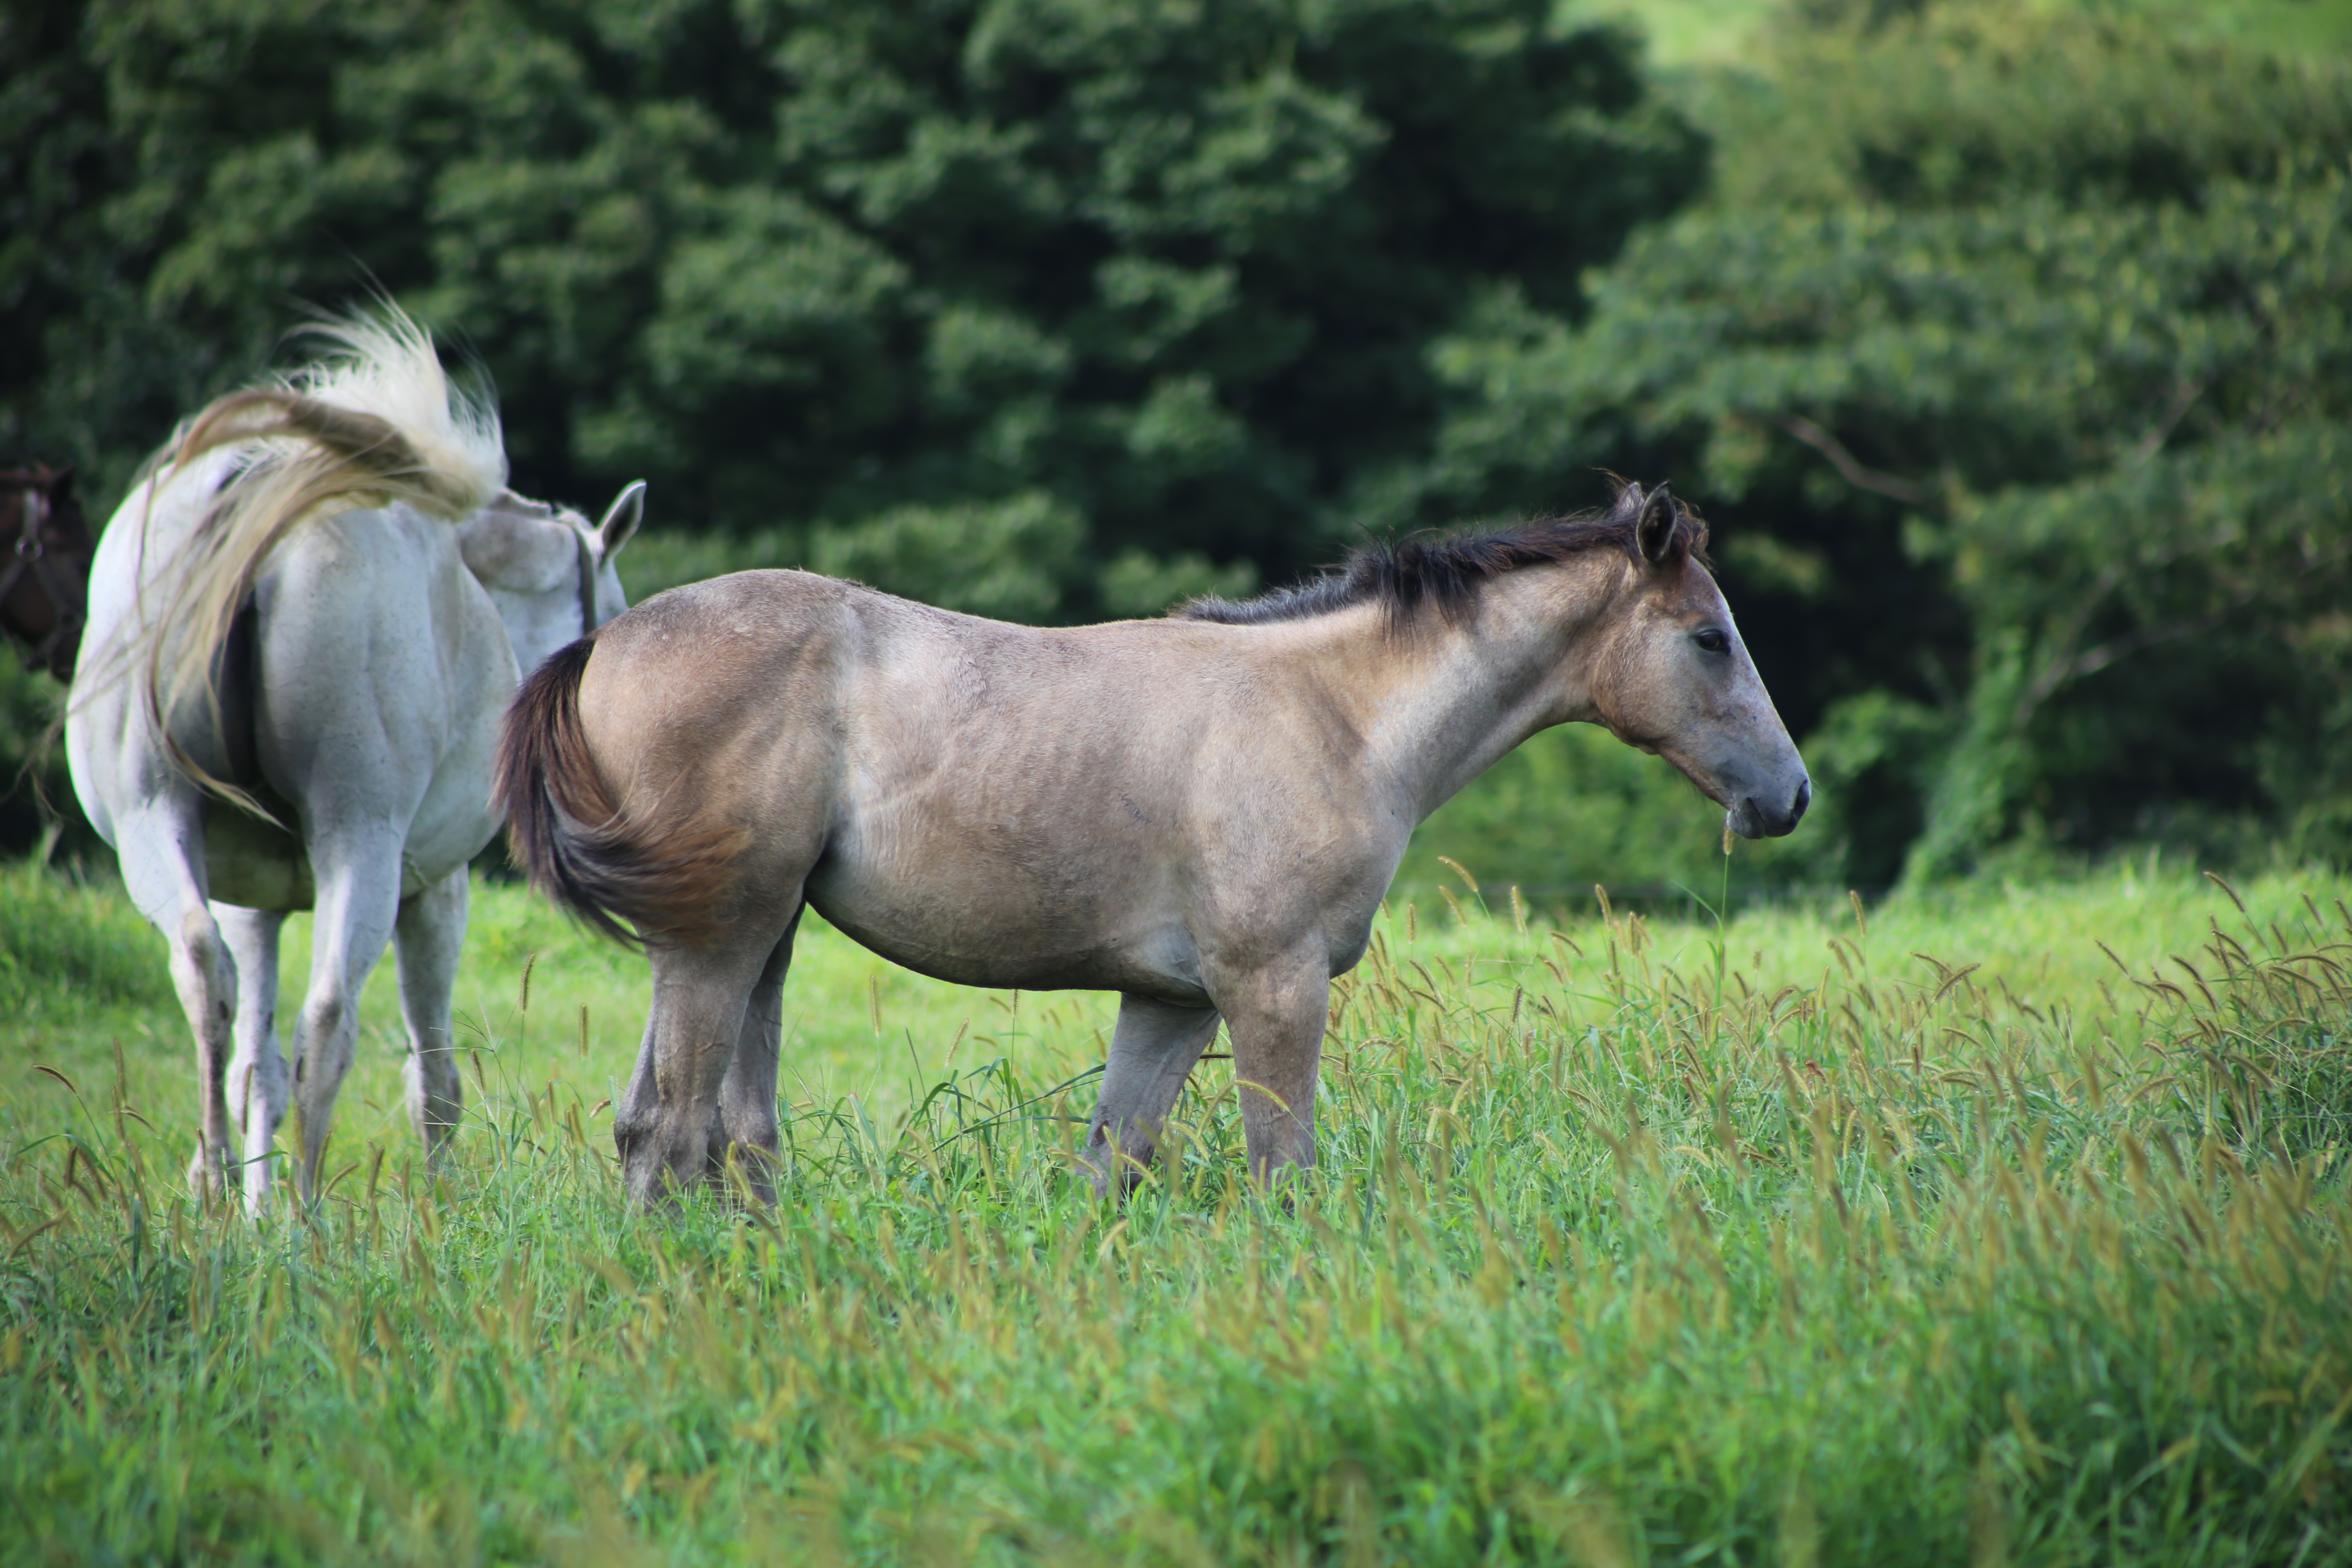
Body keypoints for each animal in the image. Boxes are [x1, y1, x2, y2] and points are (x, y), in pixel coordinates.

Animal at [69, 312, 639, 1213]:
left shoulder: (253, 903)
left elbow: (255, 1066)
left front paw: (252, 1206)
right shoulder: (435, 891)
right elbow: (432, 1081)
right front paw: (439, 1206)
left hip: (155, 823)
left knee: (203, 972)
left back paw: (218, 1187)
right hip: (361, 845)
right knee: (330, 1017)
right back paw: (305, 1213)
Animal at [506, 484, 1806, 1213]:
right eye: (1709, 636)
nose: (1787, 795)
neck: (1335, 714)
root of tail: (603, 645)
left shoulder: (1171, 1002)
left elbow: (1108, 1170)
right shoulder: (1272, 985)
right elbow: (1285, 1172)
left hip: (756, 938)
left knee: (704, 1134)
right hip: (718, 938)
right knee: (680, 1133)